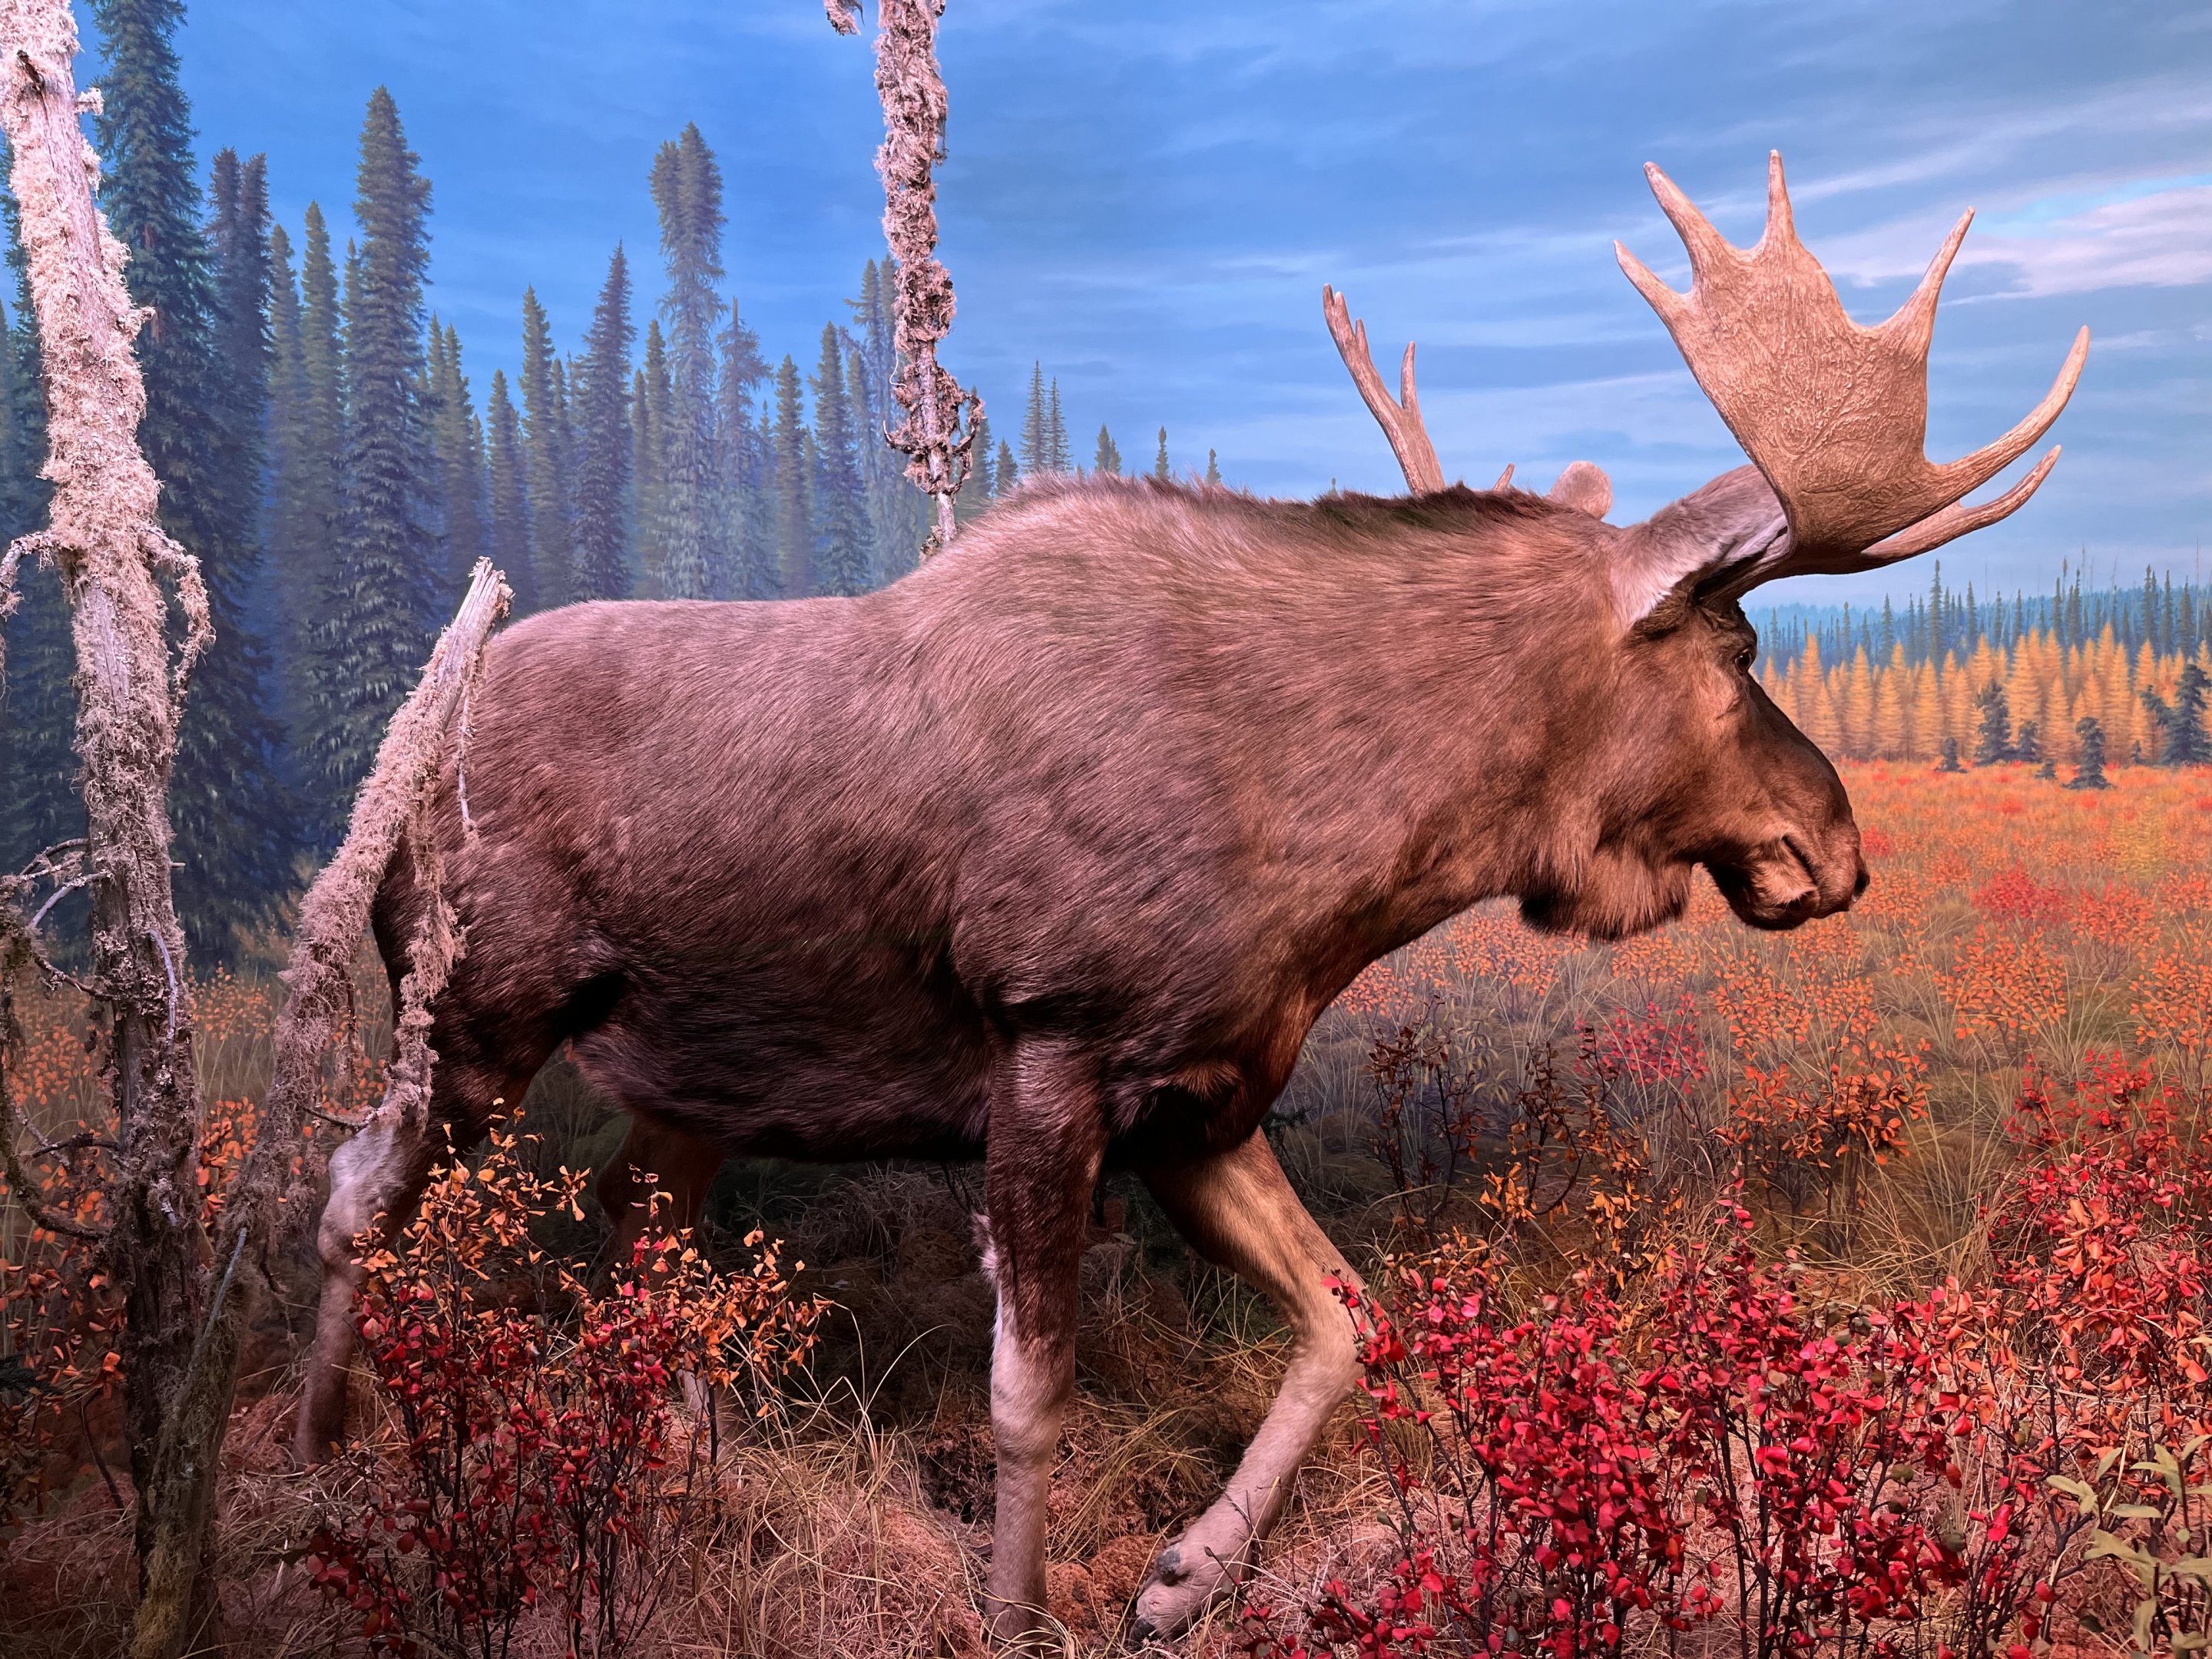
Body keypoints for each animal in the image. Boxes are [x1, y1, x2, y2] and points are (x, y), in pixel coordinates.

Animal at [296, 154, 2086, 1645]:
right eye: (1739, 647)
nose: (1838, 846)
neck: (1351, 845)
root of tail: (400, 751)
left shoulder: (1205, 1097)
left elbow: (1354, 1317)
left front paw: (1190, 1572)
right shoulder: (1050, 1053)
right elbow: (1031, 1393)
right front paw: (1016, 1614)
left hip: (688, 1071)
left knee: (629, 1227)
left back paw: (698, 1470)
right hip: (476, 1016)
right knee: (356, 1195)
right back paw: (319, 1468)